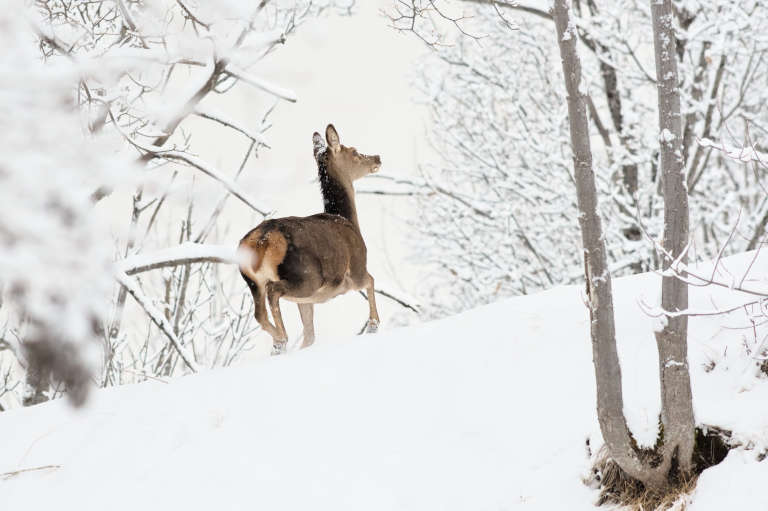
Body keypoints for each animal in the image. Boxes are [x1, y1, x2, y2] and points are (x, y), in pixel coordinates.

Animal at [237, 124, 380, 356]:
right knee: (273, 291)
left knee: (260, 313)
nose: (377, 157)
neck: (348, 220)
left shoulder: (306, 301)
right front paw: (373, 325)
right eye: (355, 152)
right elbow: (370, 280)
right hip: (307, 275)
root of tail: (260, 242)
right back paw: (282, 337)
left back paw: (278, 343)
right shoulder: (356, 267)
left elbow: (310, 335)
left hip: (254, 281)